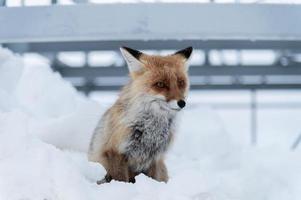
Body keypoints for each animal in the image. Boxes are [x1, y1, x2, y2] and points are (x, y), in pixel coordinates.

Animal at [89, 46, 192, 184]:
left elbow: (154, 179)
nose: (182, 103)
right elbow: (121, 179)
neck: (152, 129)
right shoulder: (115, 152)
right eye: (160, 84)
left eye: (181, 82)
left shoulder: (155, 158)